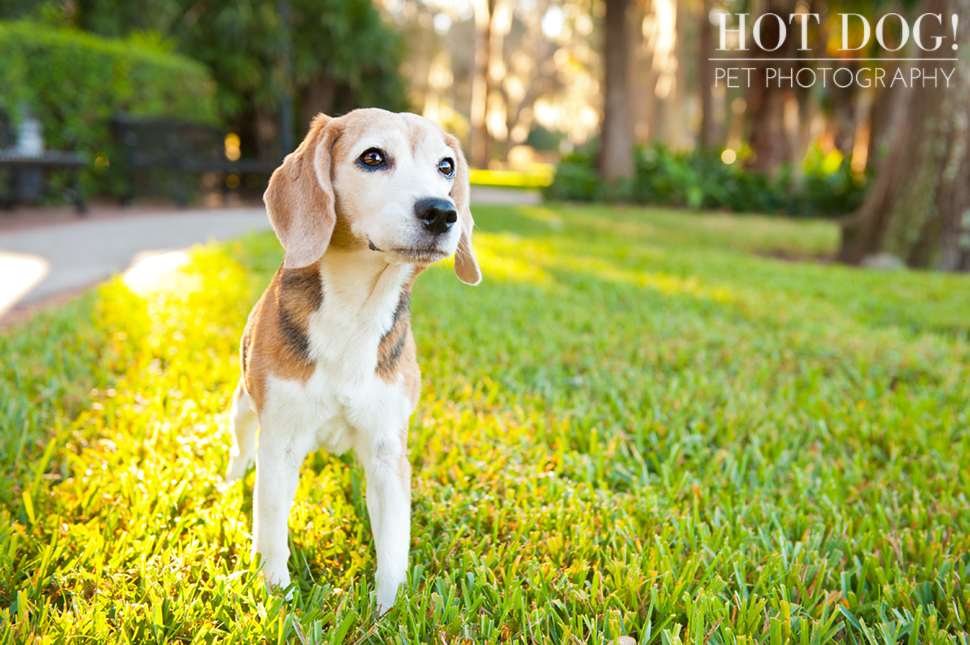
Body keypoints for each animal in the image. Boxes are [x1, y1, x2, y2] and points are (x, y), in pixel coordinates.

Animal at [225, 109, 482, 608]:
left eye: (446, 167)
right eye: (373, 157)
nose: (442, 212)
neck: (357, 309)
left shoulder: (387, 451)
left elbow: (394, 545)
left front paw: (390, 609)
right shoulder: (280, 445)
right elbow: (271, 532)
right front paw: (279, 598)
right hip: (243, 406)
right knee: (241, 446)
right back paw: (229, 481)